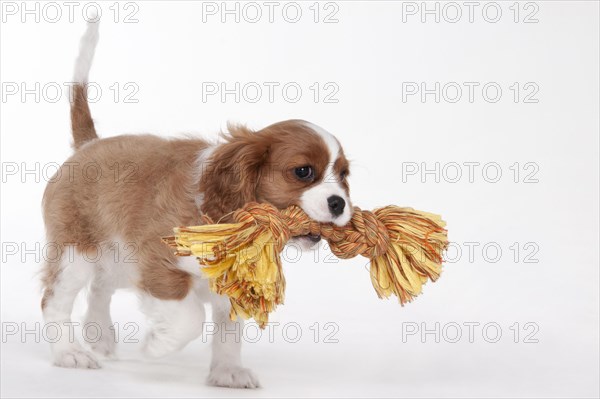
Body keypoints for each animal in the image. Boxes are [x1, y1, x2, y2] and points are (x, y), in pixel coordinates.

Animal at [39, 20, 352, 390]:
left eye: (344, 175)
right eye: (303, 172)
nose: (339, 204)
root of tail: (89, 144)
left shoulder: (228, 285)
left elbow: (229, 332)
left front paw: (227, 372)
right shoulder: (158, 262)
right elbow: (190, 317)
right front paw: (156, 345)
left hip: (117, 258)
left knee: (101, 287)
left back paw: (99, 336)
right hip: (76, 252)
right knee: (54, 301)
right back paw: (69, 353)